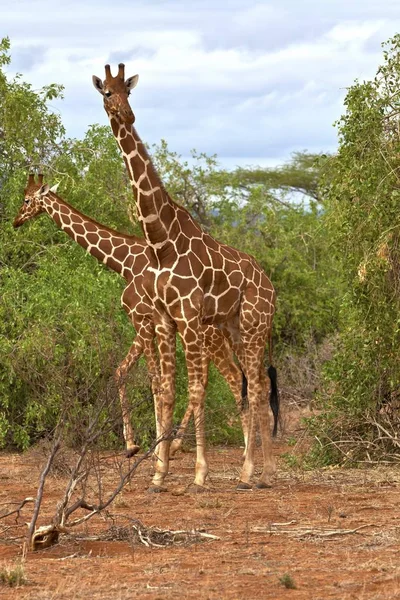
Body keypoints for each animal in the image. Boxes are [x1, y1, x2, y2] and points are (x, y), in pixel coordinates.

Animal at [13, 176, 250, 458]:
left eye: (27, 199)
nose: (16, 220)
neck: (124, 263)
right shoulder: (143, 324)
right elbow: (122, 371)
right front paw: (133, 445)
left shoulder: (141, 318)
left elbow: (154, 380)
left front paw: (153, 447)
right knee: (212, 378)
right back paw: (184, 443)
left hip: (208, 337)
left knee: (231, 377)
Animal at [91, 63, 278, 490]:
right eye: (107, 93)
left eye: (129, 90)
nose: (127, 115)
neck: (160, 240)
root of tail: (270, 284)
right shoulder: (163, 319)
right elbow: (166, 390)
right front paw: (159, 472)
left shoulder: (188, 318)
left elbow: (195, 389)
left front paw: (198, 472)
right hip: (234, 328)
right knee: (251, 383)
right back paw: (248, 470)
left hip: (254, 325)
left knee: (257, 385)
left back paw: (263, 472)